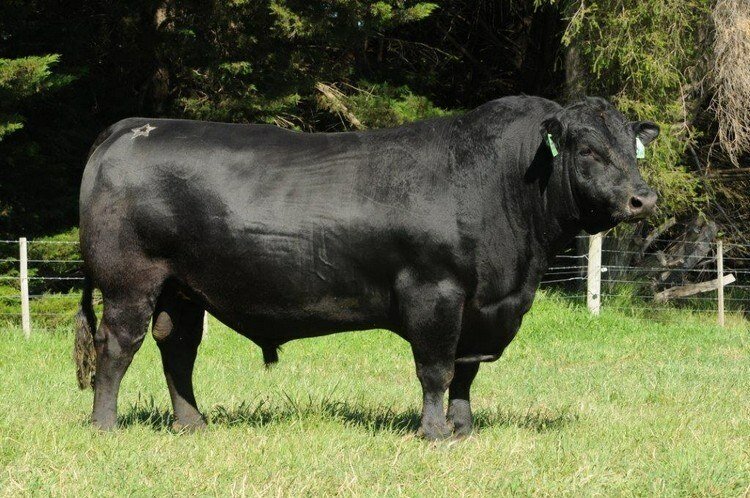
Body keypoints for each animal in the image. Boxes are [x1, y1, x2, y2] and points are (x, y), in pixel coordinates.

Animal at [75, 96, 659, 439]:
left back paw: (193, 425)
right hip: (130, 282)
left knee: (177, 348)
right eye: (587, 150)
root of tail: (132, 126)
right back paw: (105, 428)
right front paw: (434, 433)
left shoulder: (483, 307)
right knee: (118, 347)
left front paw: (464, 428)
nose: (643, 199)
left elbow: (466, 371)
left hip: (181, 289)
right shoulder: (435, 292)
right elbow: (436, 368)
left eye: (633, 149)